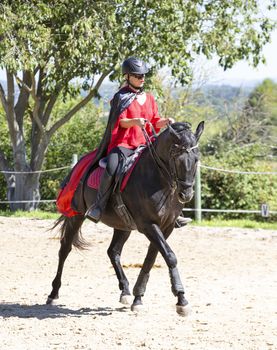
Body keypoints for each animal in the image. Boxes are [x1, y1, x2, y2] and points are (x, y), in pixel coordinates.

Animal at [47, 121, 203, 316]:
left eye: (196, 159)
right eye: (177, 159)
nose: (186, 194)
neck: (157, 178)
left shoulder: (165, 227)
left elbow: (151, 259)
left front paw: (138, 298)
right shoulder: (148, 225)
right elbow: (170, 256)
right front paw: (181, 299)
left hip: (123, 225)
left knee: (113, 252)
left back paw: (125, 291)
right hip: (76, 215)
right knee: (65, 249)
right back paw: (53, 294)